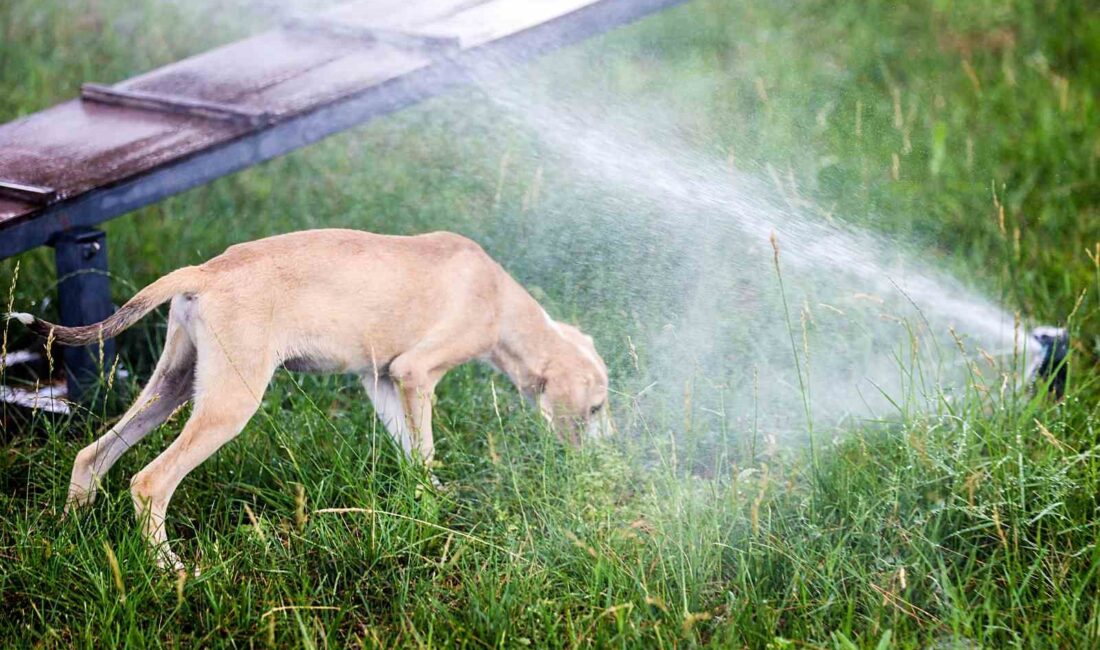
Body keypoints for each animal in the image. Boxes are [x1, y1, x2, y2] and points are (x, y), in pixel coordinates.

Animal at [10, 228, 611, 571]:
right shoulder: (417, 374)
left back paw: (66, 532)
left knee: (92, 456)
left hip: (173, 387)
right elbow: (427, 447)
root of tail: (205, 271)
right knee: (149, 481)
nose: (602, 461)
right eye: (598, 407)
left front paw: (429, 505)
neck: (502, 300)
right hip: (229, 404)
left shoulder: (383, 380)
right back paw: (168, 566)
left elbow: (414, 456)